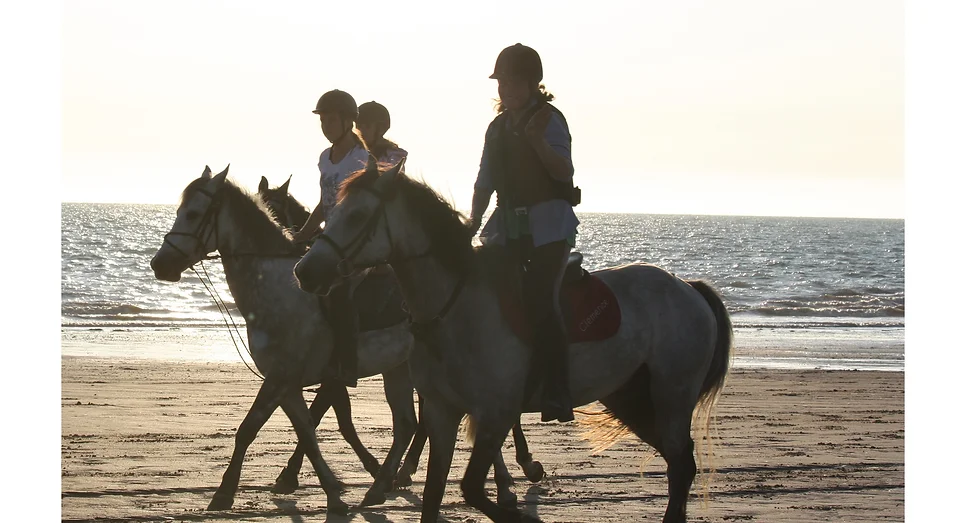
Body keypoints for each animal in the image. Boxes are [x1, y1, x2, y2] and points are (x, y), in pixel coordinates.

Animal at [149, 165, 419, 513]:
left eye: (193, 213)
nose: (160, 264)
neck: (276, 289)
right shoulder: (289, 384)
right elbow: (307, 432)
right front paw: (330, 492)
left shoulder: (281, 378)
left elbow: (250, 427)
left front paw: (224, 491)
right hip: (398, 368)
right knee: (406, 424)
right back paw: (379, 486)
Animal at [256, 175, 547, 501]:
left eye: (273, 209)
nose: (304, 271)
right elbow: (330, 418)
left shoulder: (335, 370)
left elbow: (320, 415)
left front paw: (291, 474)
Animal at [293, 158, 733, 523]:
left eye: (358, 215)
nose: (304, 270)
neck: (455, 307)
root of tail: (688, 287)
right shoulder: (443, 412)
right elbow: (435, 493)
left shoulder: (495, 414)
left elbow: (472, 488)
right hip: (629, 397)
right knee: (678, 462)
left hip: (671, 395)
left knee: (681, 464)